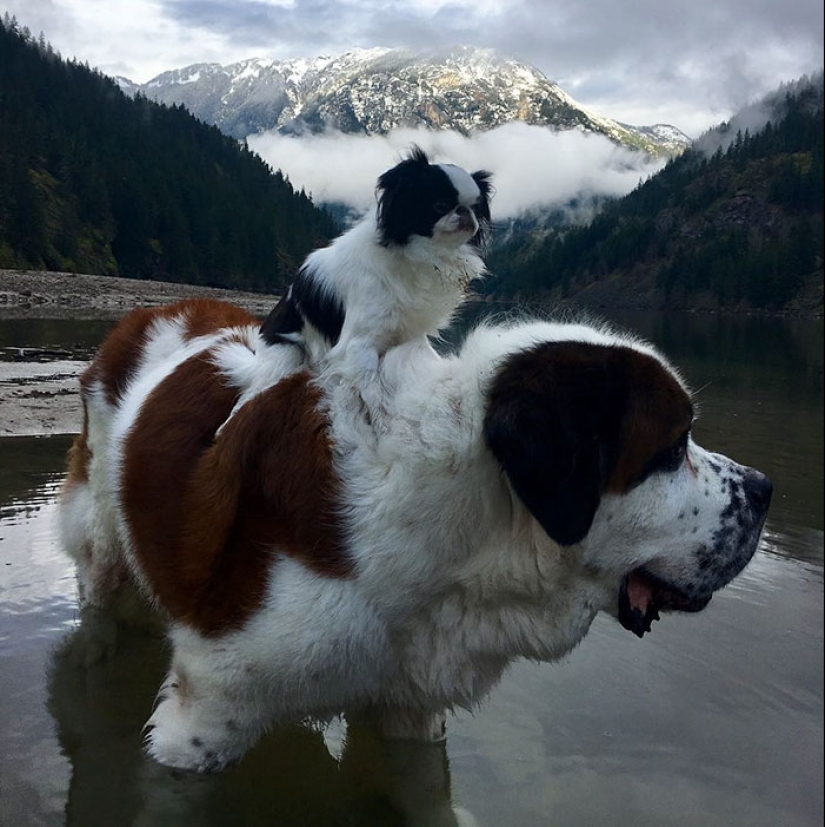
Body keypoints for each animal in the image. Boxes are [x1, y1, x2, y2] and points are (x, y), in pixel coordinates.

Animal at [59, 300, 772, 776]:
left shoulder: (412, 704)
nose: (765, 489)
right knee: (99, 585)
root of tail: (155, 310)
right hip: (97, 528)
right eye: (673, 448)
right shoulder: (206, 714)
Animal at [260, 147, 490, 410]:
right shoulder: (359, 345)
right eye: (440, 204)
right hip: (287, 353)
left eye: (476, 208)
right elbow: (373, 390)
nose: (465, 212)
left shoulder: (410, 336)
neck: (421, 253)